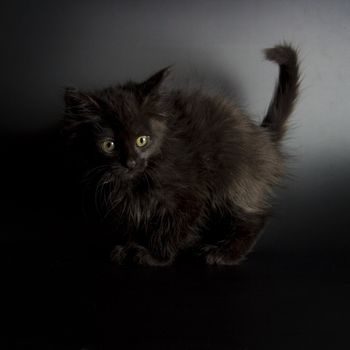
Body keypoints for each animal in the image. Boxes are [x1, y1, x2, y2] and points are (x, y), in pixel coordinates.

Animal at [64, 43, 300, 266]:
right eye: (109, 145)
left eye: (142, 140)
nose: (130, 162)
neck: (136, 181)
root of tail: (264, 137)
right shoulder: (132, 204)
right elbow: (137, 224)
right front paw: (128, 248)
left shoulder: (190, 195)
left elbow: (170, 229)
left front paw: (154, 256)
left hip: (236, 177)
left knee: (253, 217)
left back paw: (224, 253)